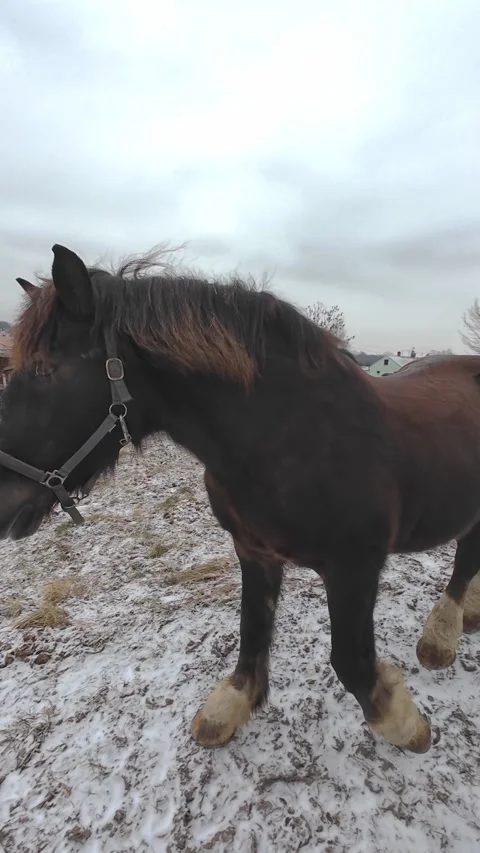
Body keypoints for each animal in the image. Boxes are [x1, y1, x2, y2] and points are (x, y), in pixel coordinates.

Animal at [1, 244, 479, 758]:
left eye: (44, 371)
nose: (4, 504)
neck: (291, 439)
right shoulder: (253, 551)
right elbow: (252, 629)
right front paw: (231, 706)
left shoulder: (355, 569)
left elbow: (351, 662)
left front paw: (406, 724)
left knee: (464, 559)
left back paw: (440, 638)